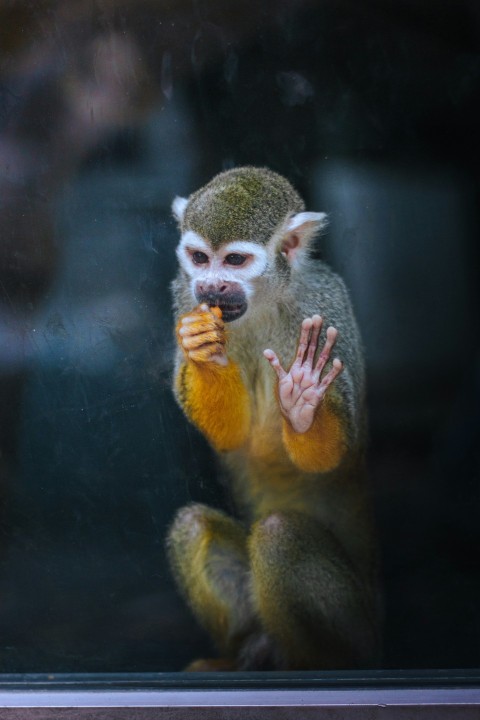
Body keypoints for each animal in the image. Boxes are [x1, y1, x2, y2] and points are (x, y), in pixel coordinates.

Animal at [167, 166, 380, 672]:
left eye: (235, 260)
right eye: (200, 259)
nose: (212, 287)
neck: (265, 301)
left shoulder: (326, 306)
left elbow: (332, 456)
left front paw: (302, 399)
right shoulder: (182, 294)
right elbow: (231, 435)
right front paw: (201, 348)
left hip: (358, 625)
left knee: (279, 535)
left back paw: (314, 664)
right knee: (192, 526)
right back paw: (239, 654)